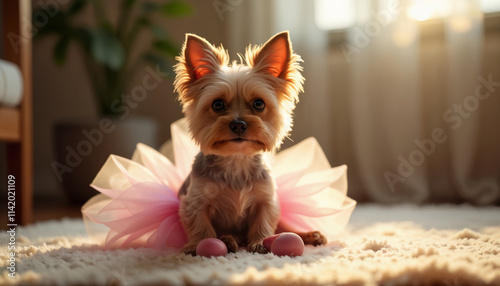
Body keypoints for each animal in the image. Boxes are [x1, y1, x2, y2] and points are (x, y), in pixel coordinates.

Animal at [174, 31, 326, 255]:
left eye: (259, 104)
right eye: (217, 104)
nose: (238, 124)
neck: (236, 160)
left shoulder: (265, 199)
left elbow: (263, 220)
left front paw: (261, 241)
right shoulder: (194, 201)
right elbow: (200, 224)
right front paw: (198, 244)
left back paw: (309, 236)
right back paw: (228, 240)